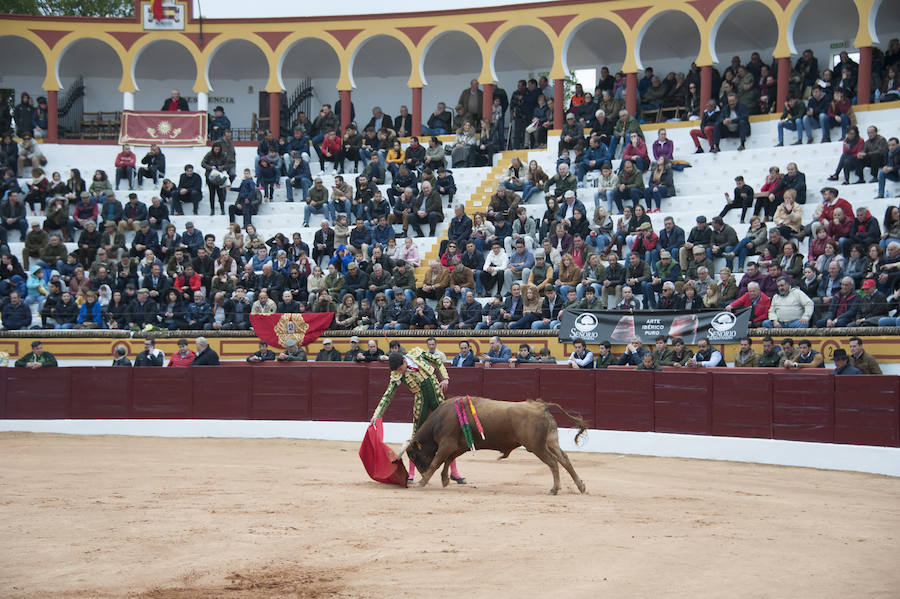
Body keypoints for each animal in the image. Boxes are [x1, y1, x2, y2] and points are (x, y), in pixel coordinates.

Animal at [400, 398, 584, 496]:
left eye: (414, 455)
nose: (421, 473)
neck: (441, 418)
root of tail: (541, 406)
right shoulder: (458, 446)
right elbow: (447, 460)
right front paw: (445, 479)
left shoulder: (448, 443)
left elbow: (436, 462)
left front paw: (422, 482)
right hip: (551, 442)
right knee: (564, 459)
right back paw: (581, 486)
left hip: (537, 446)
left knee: (553, 462)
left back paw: (554, 489)